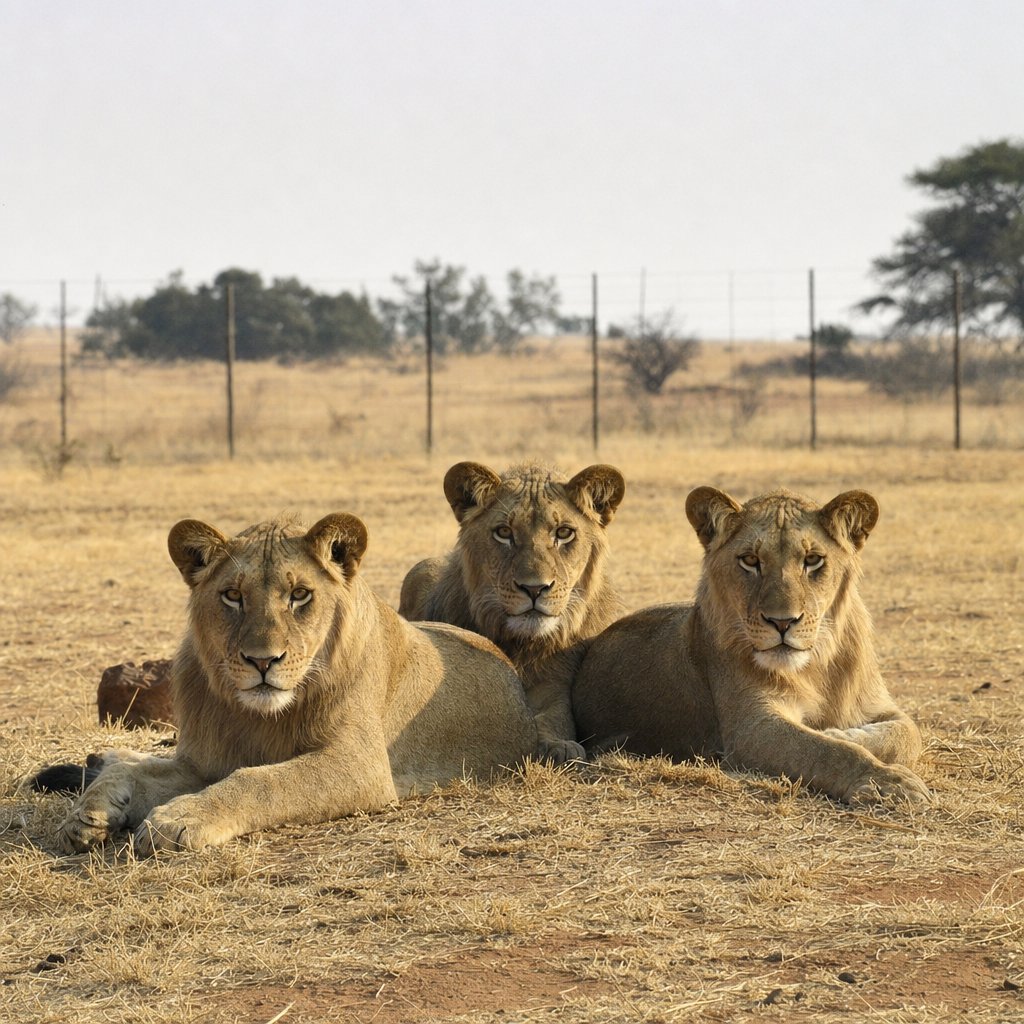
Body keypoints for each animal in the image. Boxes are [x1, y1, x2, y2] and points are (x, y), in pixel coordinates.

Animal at [40, 512, 538, 853]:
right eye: (232, 596)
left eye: (300, 595)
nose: (263, 661)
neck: (260, 717)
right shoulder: (204, 761)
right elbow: (138, 771)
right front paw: (86, 814)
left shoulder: (359, 765)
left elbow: (260, 780)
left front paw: (178, 819)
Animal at [399, 461, 625, 765]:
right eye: (504, 533)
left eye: (564, 533)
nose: (534, 588)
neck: (523, 644)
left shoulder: (556, 683)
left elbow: (556, 715)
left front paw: (559, 746)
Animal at [572, 486, 929, 806]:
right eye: (750, 560)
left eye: (813, 560)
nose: (782, 622)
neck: (814, 667)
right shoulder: (751, 728)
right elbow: (826, 752)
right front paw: (887, 782)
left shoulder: (881, 705)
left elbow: (908, 734)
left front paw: (839, 733)